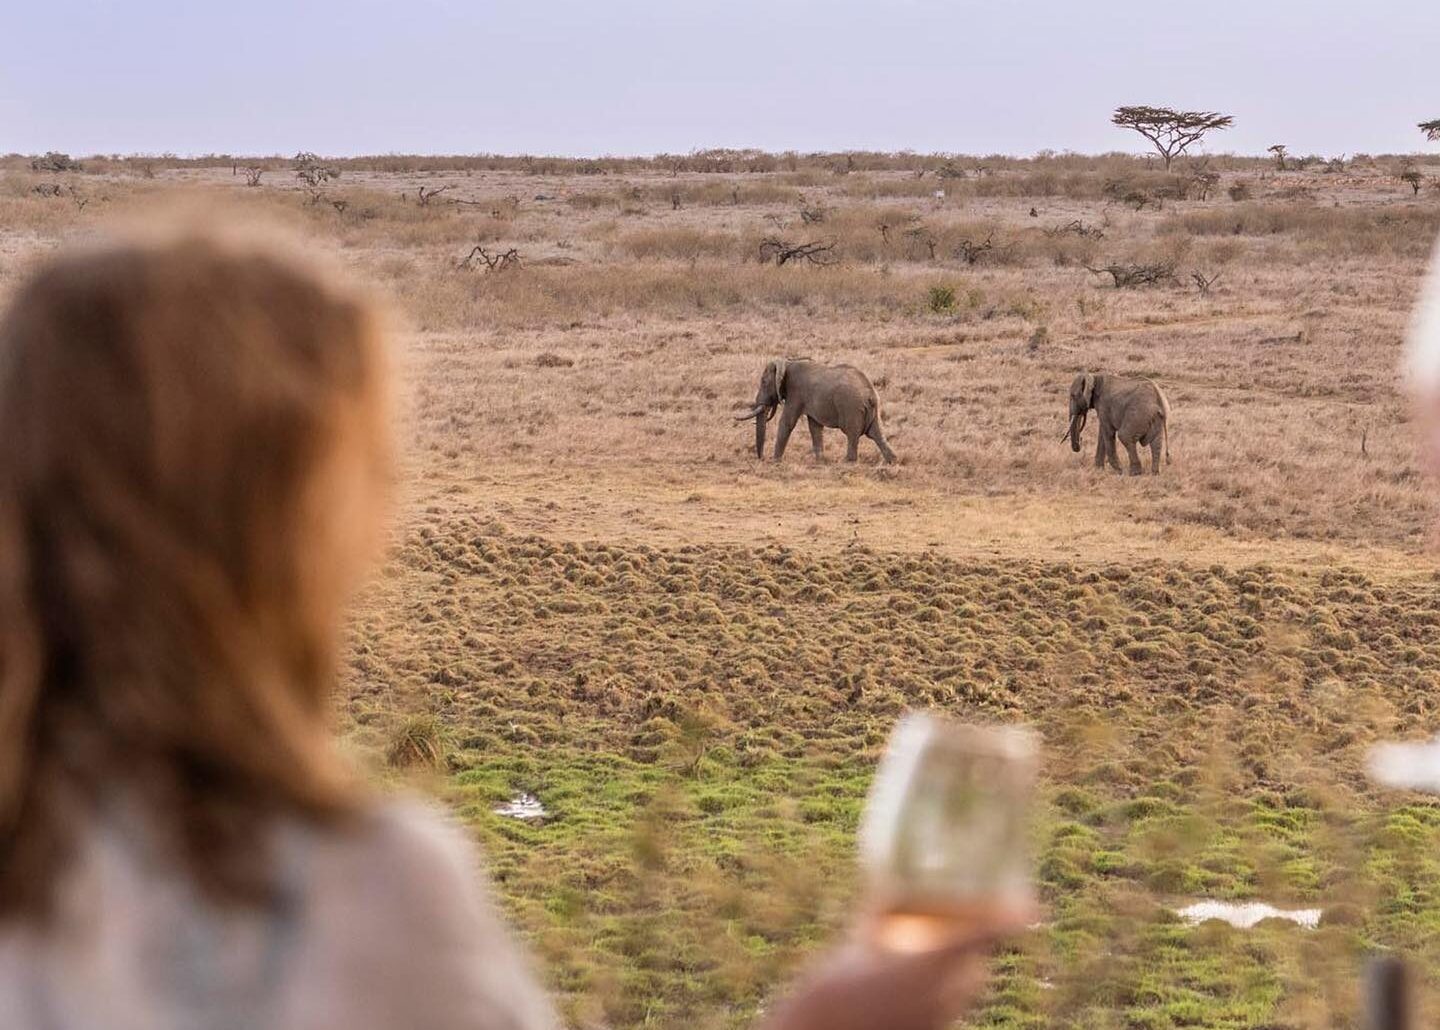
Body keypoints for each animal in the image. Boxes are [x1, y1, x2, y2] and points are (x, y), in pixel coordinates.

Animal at [735, 357, 897, 464]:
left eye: (763, 382)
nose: (762, 458)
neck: (788, 362)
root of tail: (870, 394)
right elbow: (814, 426)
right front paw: (820, 461)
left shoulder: (796, 393)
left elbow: (787, 422)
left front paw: (775, 461)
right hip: (873, 410)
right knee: (876, 434)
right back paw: (892, 462)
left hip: (851, 408)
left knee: (852, 434)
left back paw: (846, 462)